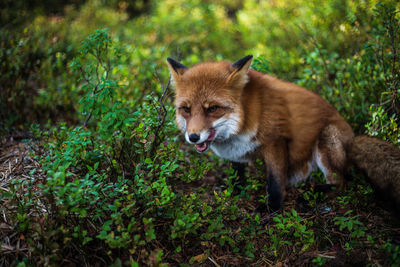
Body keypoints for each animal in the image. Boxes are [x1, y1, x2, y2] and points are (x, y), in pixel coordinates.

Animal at [167, 55, 398, 213]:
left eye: (212, 109)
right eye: (186, 109)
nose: (193, 137)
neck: (246, 116)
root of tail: (352, 137)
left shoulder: (275, 141)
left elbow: (275, 181)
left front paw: (272, 208)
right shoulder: (236, 151)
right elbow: (237, 175)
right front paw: (235, 193)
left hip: (326, 142)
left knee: (341, 183)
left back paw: (312, 194)